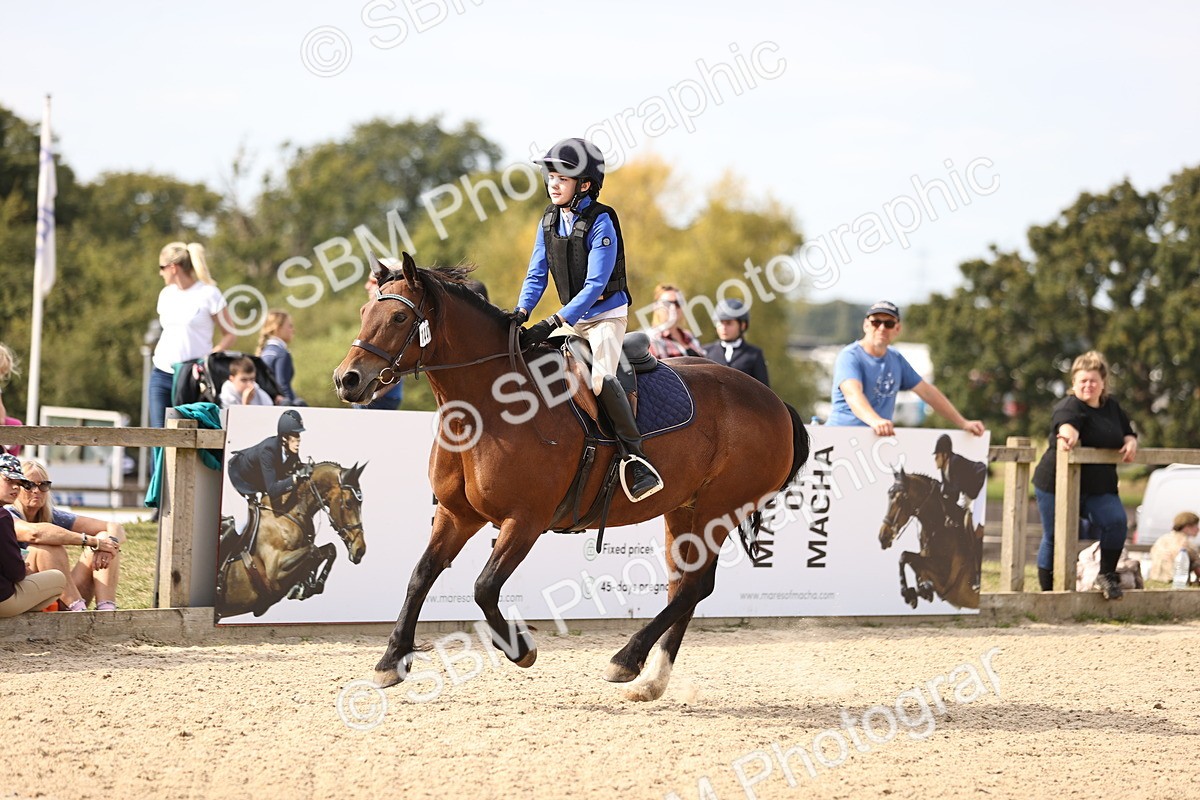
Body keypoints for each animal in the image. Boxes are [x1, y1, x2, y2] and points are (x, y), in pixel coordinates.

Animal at [215, 461, 367, 620]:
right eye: (348, 503)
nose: (360, 550)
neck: (287, 514)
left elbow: (330, 549)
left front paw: (309, 585)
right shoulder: (274, 572)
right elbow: (313, 550)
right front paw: (302, 587)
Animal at [332, 253, 809, 701]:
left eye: (399, 318)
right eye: (363, 312)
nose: (346, 379)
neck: (485, 408)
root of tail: (774, 401)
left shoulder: (525, 520)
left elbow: (484, 587)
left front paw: (519, 649)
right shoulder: (456, 515)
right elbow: (420, 576)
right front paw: (391, 660)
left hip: (720, 508)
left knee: (694, 585)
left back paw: (625, 660)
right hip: (683, 510)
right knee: (684, 586)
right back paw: (650, 681)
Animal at [877, 468, 981, 610]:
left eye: (902, 498)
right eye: (889, 495)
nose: (883, 537)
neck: (938, 527)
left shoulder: (945, 576)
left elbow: (905, 556)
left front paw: (909, 593)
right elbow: (908, 559)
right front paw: (919, 592)